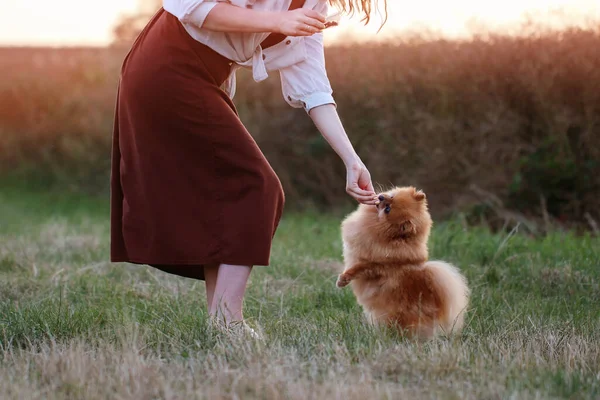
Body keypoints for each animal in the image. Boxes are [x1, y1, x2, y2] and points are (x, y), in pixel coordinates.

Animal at [338, 186, 468, 340]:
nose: (381, 197)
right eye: (392, 196)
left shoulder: (374, 266)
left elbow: (357, 269)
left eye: (388, 209)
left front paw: (342, 280)